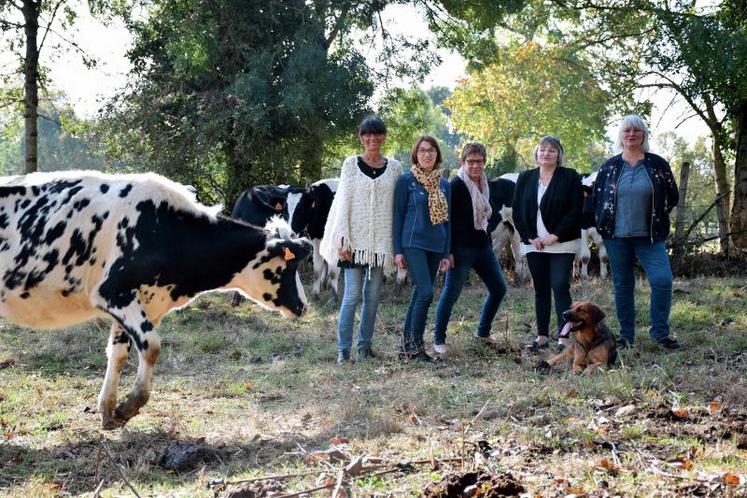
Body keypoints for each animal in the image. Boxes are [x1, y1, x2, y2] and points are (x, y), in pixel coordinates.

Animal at [0, 171, 312, 428]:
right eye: (289, 265)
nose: (303, 306)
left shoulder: (140, 303)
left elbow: (118, 354)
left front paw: (108, 411)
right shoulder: (114, 293)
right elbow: (151, 347)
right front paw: (129, 406)